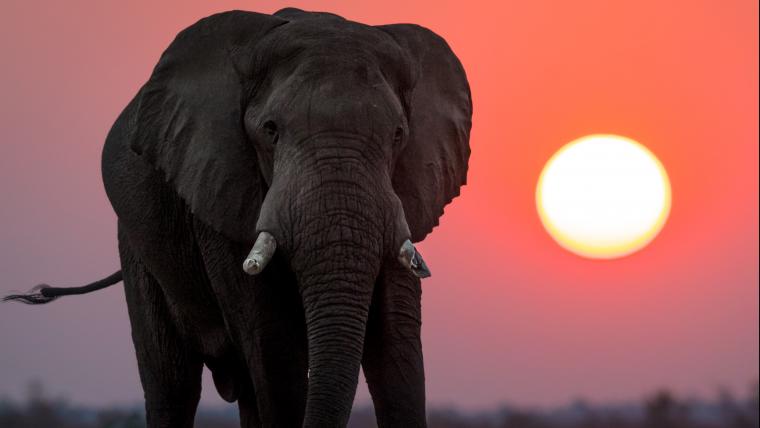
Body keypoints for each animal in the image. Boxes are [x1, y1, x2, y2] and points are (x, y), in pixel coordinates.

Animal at [4, 7, 470, 428]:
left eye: (398, 135)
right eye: (270, 130)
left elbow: (397, 344)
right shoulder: (219, 188)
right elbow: (272, 345)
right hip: (137, 244)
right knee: (172, 385)